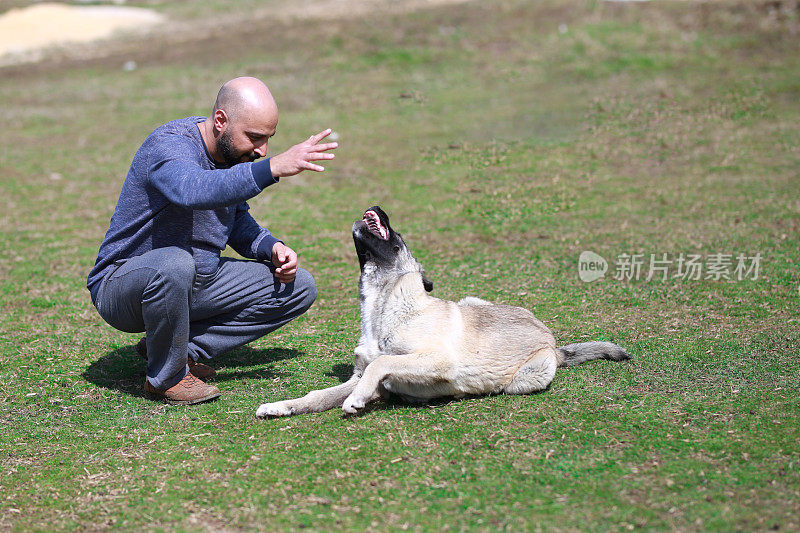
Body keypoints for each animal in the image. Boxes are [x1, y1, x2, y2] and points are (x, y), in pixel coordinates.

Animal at [256, 206, 632, 418]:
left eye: (399, 235)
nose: (376, 205)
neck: (382, 307)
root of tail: (554, 344)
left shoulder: (435, 360)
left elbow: (382, 362)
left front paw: (357, 401)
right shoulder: (357, 375)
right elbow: (317, 396)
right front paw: (282, 407)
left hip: (526, 378)